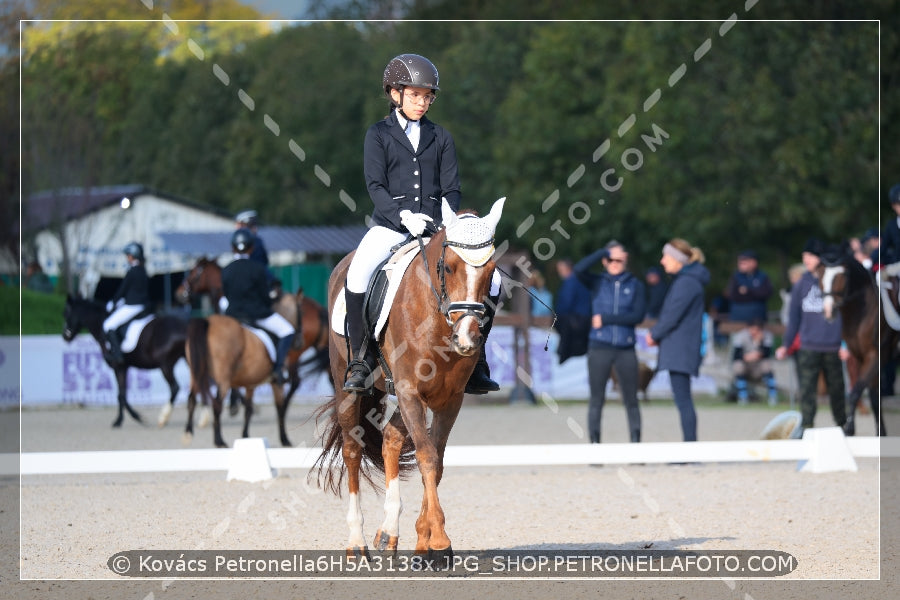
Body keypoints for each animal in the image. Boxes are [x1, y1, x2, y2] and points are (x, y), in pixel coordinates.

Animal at [62, 294, 187, 426]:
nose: (65, 336)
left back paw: (163, 417)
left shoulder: (118, 367)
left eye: (66, 313)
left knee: (175, 387)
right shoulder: (124, 367)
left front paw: (127, 419)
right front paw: (127, 418)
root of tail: (183, 327)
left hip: (165, 365)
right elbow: (122, 394)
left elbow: (121, 395)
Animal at [312, 199, 502, 560]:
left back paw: (388, 532)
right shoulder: (410, 391)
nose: (467, 338)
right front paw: (440, 543)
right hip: (350, 387)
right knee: (352, 450)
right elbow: (426, 455)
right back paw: (356, 542)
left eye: (491, 271)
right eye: (450, 267)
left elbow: (436, 460)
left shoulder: (448, 399)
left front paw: (424, 541)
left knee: (389, 438)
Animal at [820, 244, 888, 436]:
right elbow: (870, 395)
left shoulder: (874, 355)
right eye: (822, 275)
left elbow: (856, 391)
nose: (828, 310)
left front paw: (849, 427)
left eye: (842, 275)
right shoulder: (858, 357)